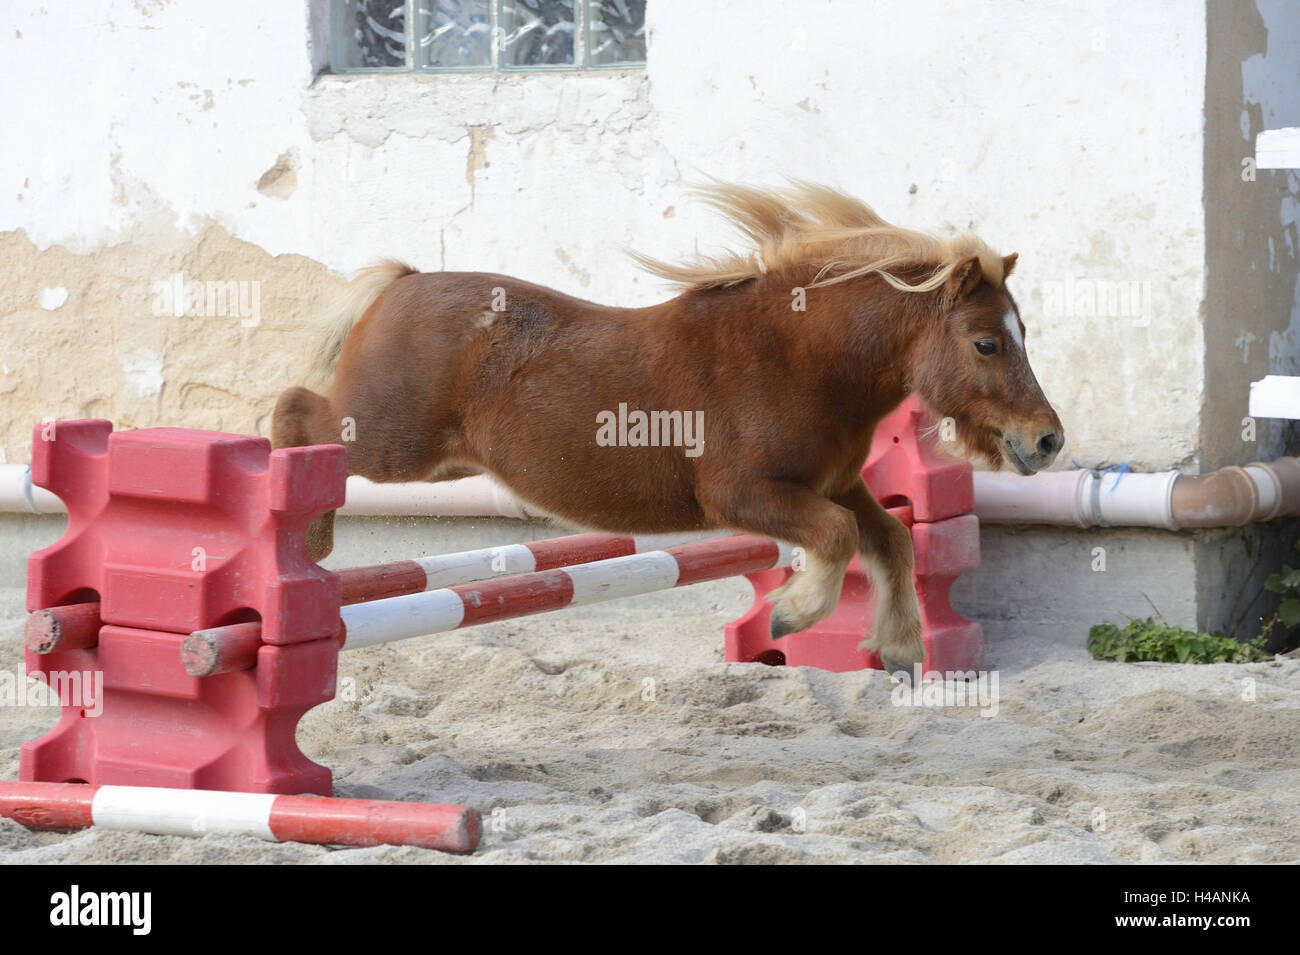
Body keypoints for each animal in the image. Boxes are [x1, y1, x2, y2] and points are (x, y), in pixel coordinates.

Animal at [276, 184, 1066, 670]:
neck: (798, 357)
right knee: (296, 412)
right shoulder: (746, 496)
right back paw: (309, 536)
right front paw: (790, 616)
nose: (1047, 440)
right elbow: (839, 540)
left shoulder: (836, 486)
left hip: (426, 457)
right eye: (986, 344)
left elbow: (890, 538)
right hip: (390, 444)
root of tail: (404, 283)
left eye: (1022, 334)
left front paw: (899, 649)